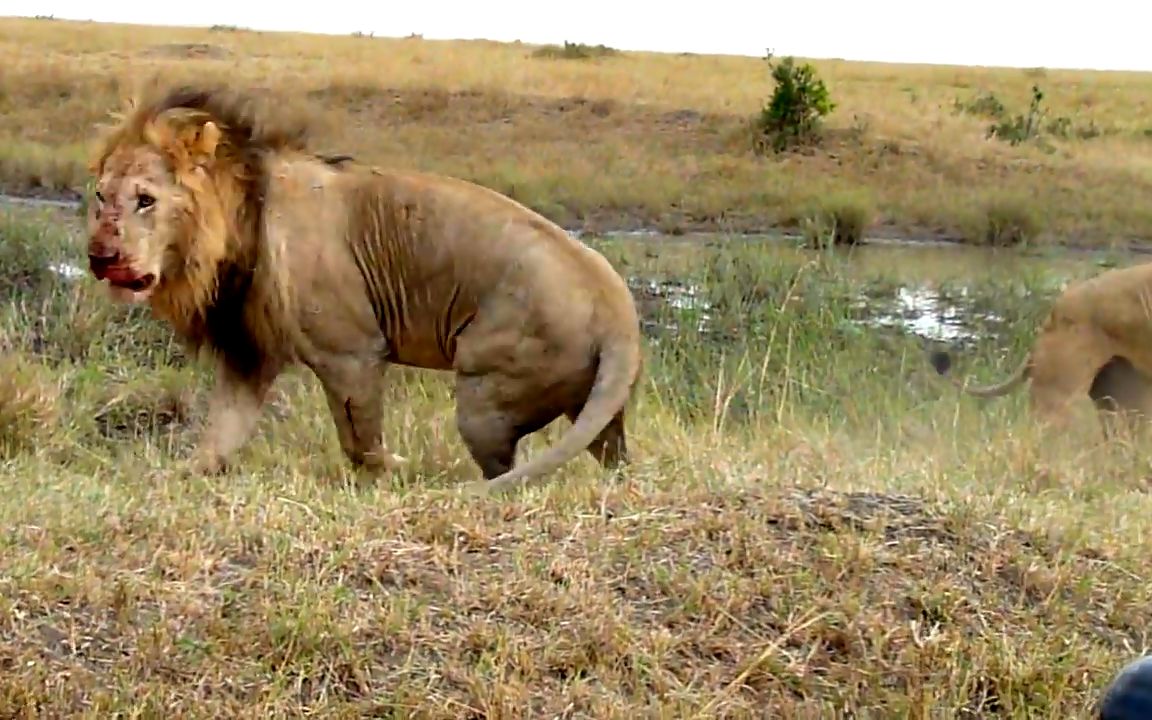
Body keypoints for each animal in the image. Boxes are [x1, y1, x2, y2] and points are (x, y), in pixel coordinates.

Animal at [87, 80, 649, 493]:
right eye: (100, 196)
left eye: (145, 200)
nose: (100, 257)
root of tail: (618, 309)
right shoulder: (249, 351)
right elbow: (221, 433)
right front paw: (179, 477)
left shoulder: (350, 351)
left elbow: (360, 441)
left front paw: (394, 472)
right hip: (589, 407)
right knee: (615, 458)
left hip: (484, 399)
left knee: (507, 468)